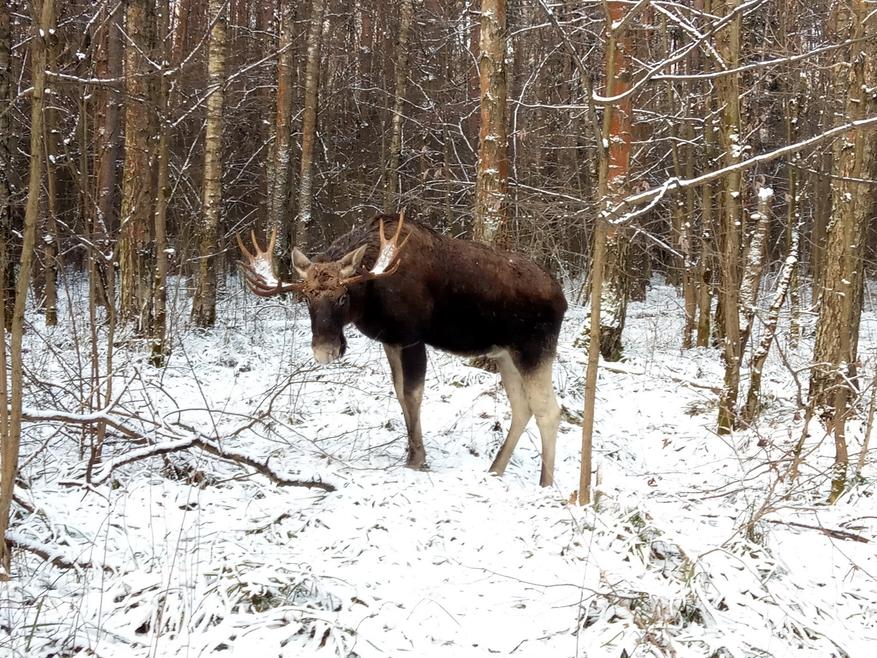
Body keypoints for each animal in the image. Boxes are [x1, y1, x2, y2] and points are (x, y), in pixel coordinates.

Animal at [238, 213, 568, 484]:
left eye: (343, 296)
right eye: (307, 297)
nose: (325, 351)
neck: (371, 294)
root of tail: (562, 299)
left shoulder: (411, 338)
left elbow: (412, 395)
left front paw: (418, 459)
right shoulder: (391, 340)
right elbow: (398, 393)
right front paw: (410, 453)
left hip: (534, 349)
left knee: (549, 410)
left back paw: (545, 483)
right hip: (505, 354)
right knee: (522, 407)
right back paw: (495, 469)